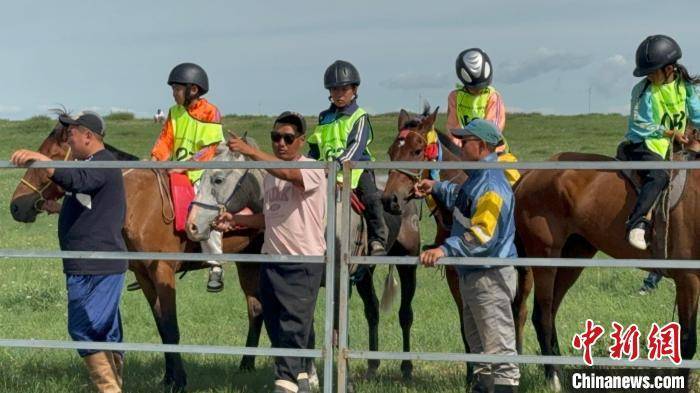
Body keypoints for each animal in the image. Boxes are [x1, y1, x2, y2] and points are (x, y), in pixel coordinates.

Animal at [8, 119, 266, 392]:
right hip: (248, 262)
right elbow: (162, 326)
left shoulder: (162, 270)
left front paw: (179, 381)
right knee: (255, 309)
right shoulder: (144, 274)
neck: (138, 201)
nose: (16, 206)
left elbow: (171, 328)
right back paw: (246, 364)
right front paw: (168, 377)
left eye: (50, 156)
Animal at [183, 139, 424, 382]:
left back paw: (406, 367)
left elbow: (336, 329)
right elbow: (308, 329)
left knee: (405, 314)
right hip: (365, 273)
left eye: (218, 179)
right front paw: (310, 376)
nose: (192, 225)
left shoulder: (338, 284)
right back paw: (372, 367)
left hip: (407, 262)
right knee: (372, 310)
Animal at [516, 152, 700, 390]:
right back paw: (553, 378)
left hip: (574, 257)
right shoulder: (688, 279)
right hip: (545, 257)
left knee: (550, 312)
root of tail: (530, 174)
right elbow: (687, 342)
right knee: (542, 316)